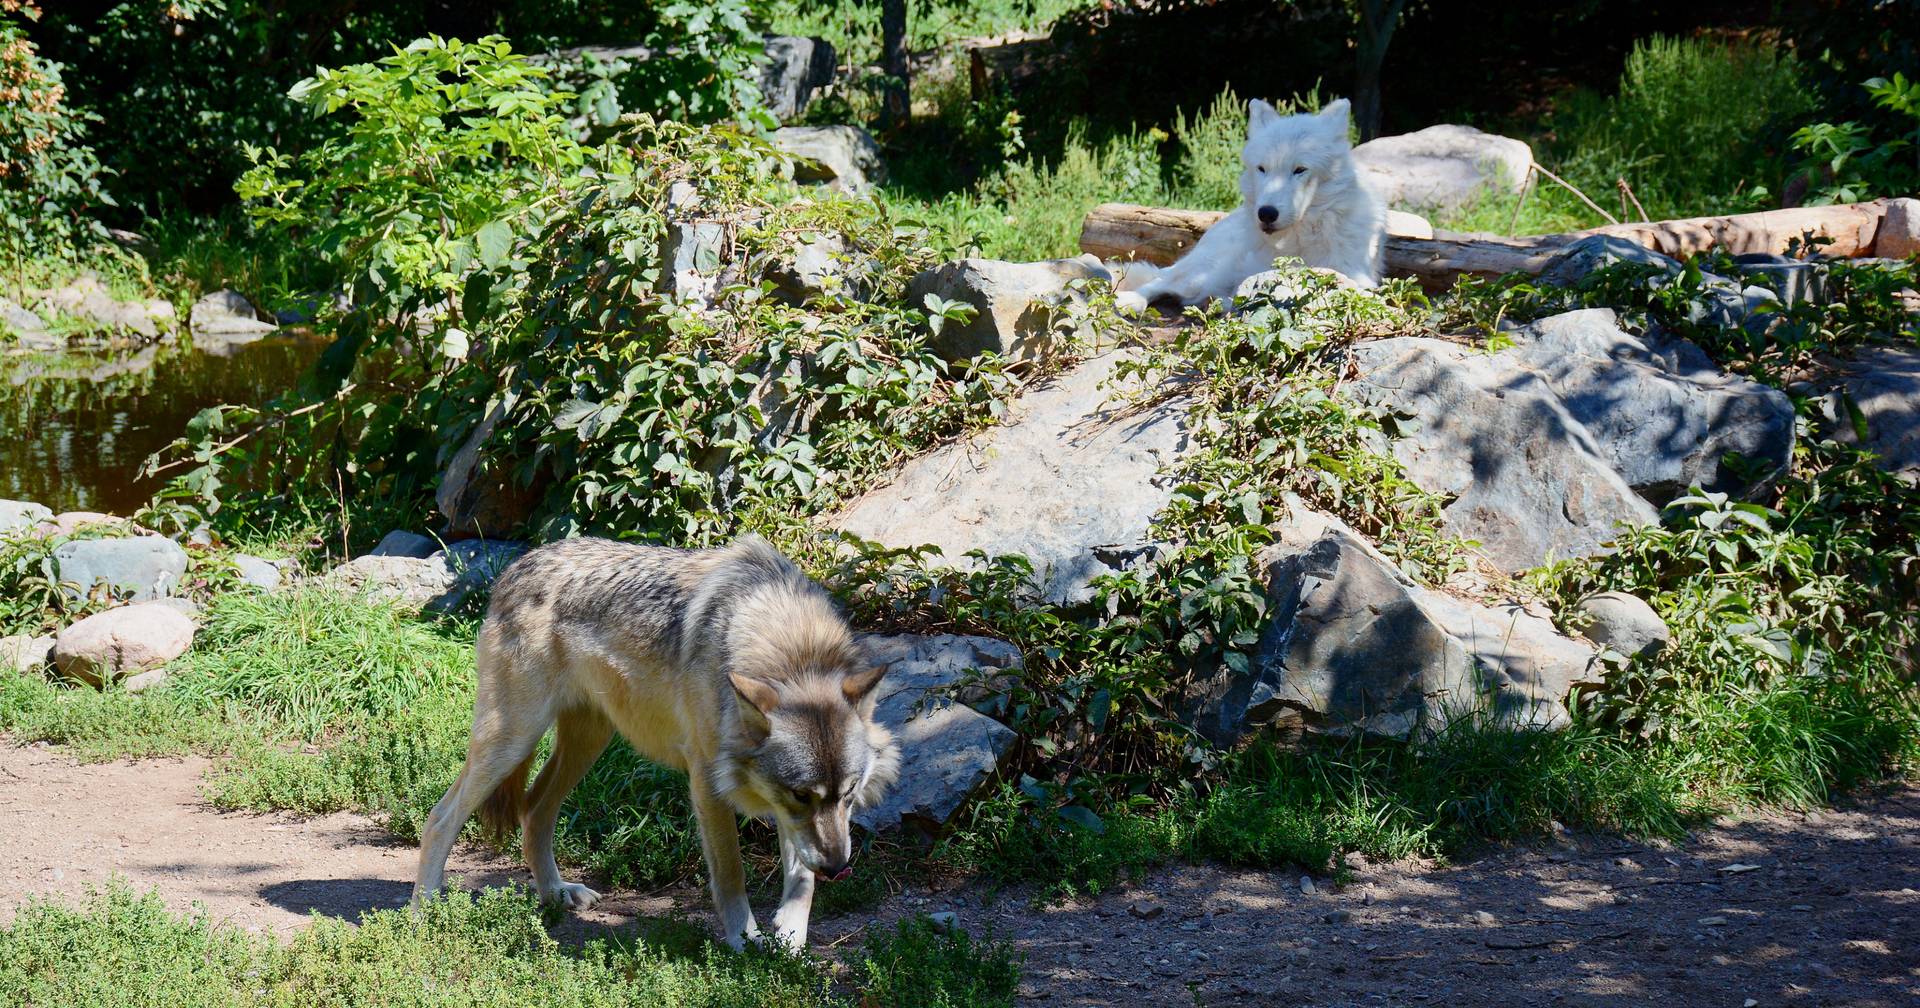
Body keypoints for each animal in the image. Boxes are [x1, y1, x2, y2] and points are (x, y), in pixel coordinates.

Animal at [412, 534, 900, 950]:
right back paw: (425, 914)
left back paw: (555, 894)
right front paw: (745, 942)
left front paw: (792, 939)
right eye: (801, 794)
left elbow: (801, 877)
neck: (791, 649)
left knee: (533, 809)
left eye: (850, 793)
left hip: (588, 742)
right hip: (511, 739)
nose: (838, 868)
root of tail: (516, 566)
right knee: (441, 817)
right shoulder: (709, 782)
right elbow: (731, 874)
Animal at [1115, 97, 1386, 312]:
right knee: (1160, 281)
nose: (1266, 213)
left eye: (1300, 170)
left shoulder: (1360, 278)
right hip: (1202, 273)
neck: (1298, 240)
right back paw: (1131, 300)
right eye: (1262, 169)